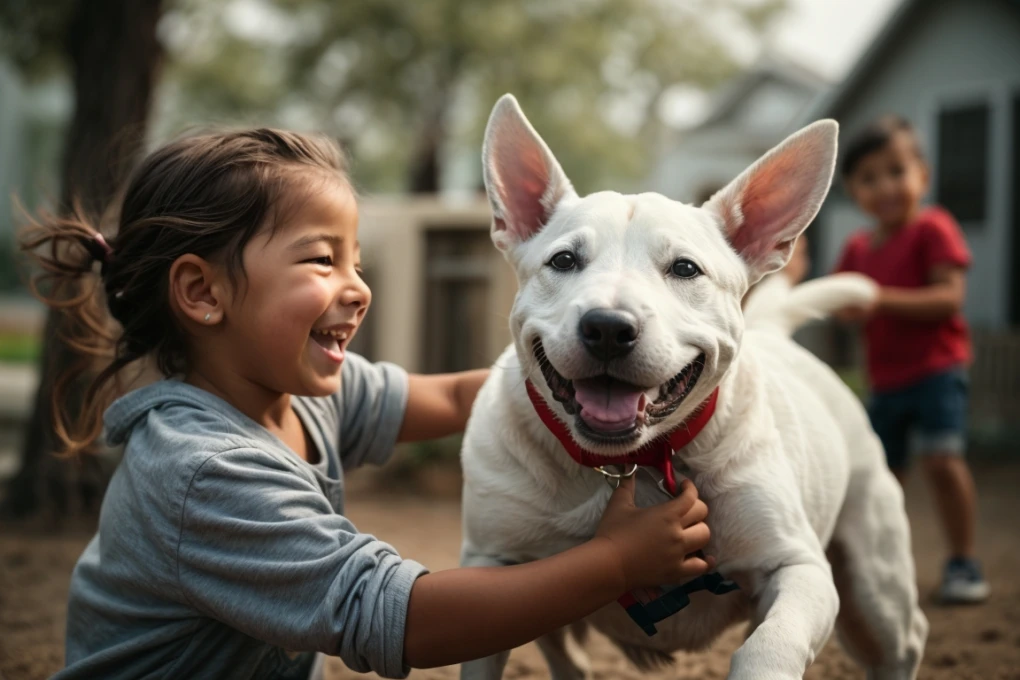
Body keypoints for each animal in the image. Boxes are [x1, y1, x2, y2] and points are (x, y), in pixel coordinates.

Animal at [459, 95, 930, 680]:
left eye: (685, 268)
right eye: (563, 260)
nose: (607, 327)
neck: (630, 465)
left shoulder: (798, 565)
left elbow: (768, 646)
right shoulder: (490, 565)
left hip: (873, 577)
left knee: (901, 637)